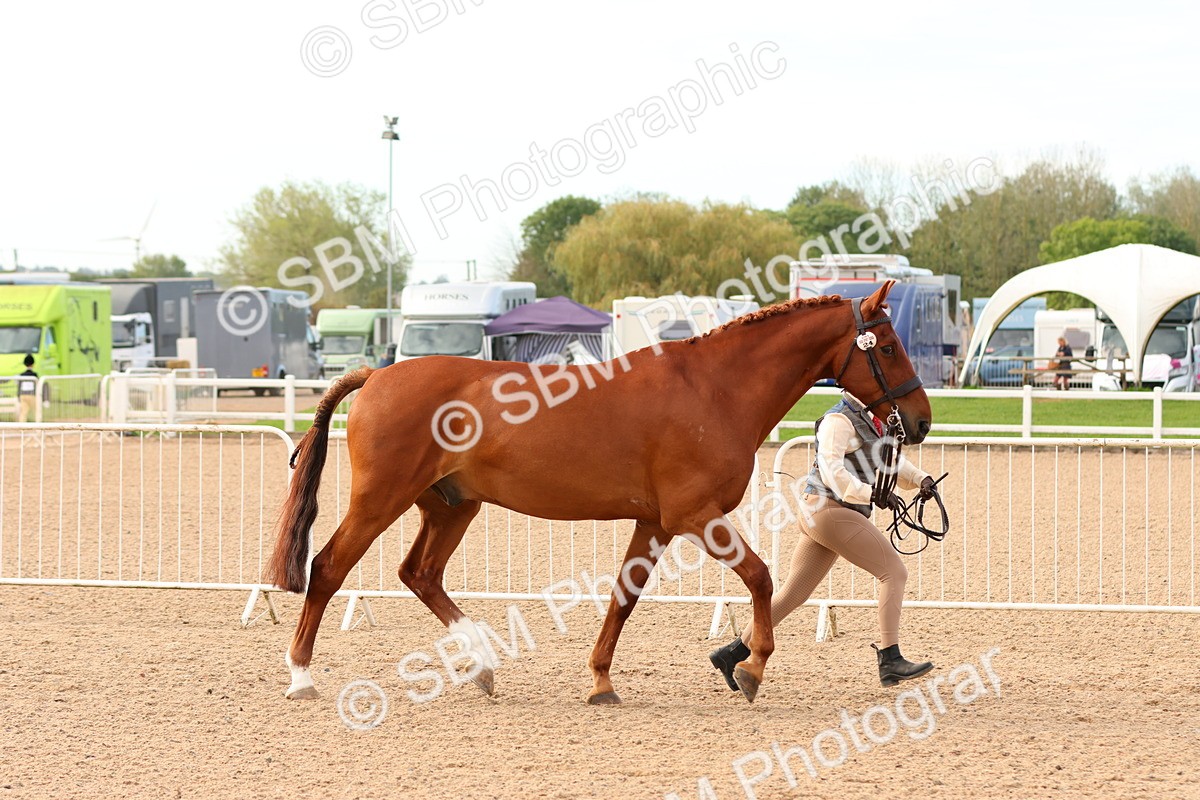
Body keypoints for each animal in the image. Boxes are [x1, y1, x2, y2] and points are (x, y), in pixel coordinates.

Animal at [268, 280, 931, 705]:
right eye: (889, 346)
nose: (921, 420)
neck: (713, 390)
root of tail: (376, 375)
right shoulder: (696, 516)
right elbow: (762, 578)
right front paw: (753, 668)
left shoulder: (657, 523)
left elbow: (623, 598)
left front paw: (601, 681)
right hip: (381, 500)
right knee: (328, 568)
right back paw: (300, 677)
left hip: (452, 506)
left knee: (420, 574)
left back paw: (482, 668)